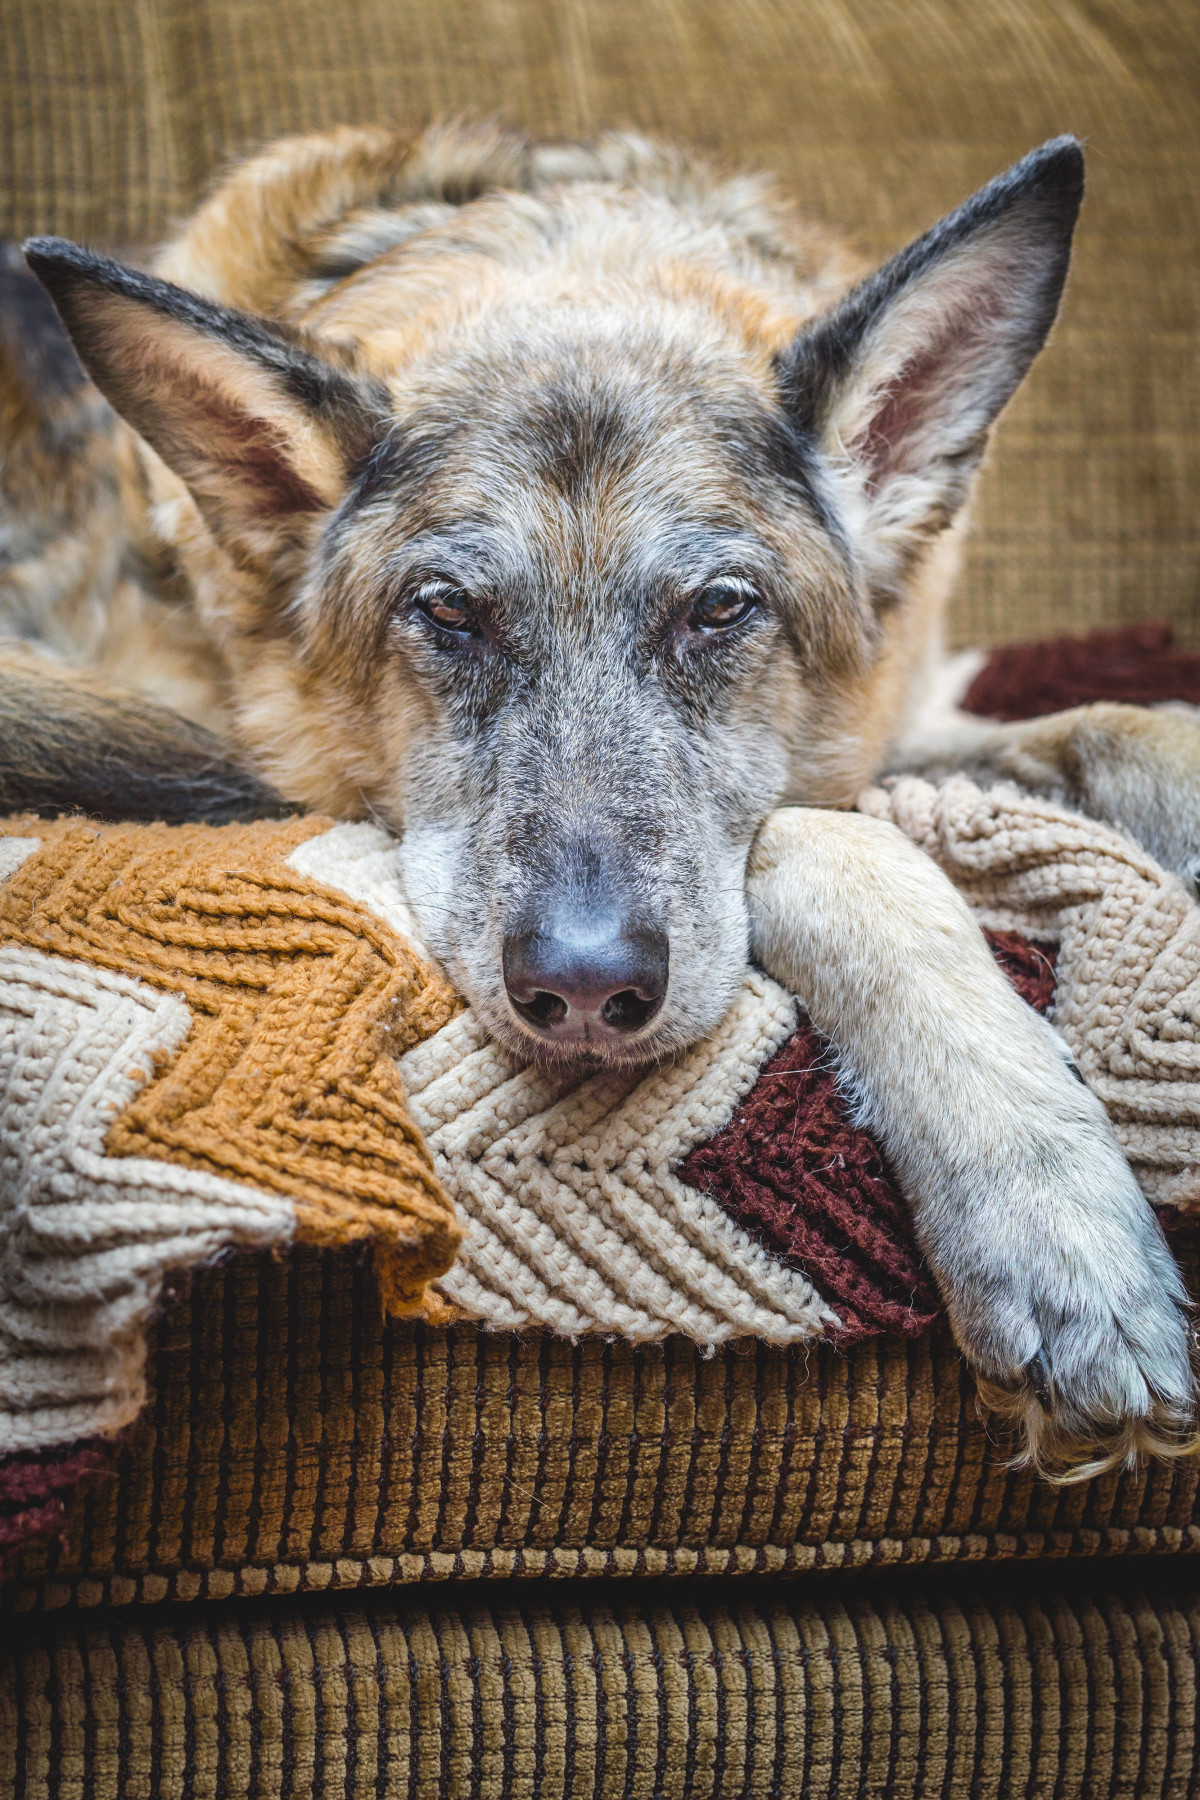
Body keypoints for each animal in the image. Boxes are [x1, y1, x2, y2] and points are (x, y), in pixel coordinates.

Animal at [2, 123, 1200, 1476]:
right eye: (447, 612)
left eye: (721, 608)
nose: (581, 991)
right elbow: (839, 849)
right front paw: (1051, 1220)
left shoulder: (917, 715)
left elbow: (1118, 725)